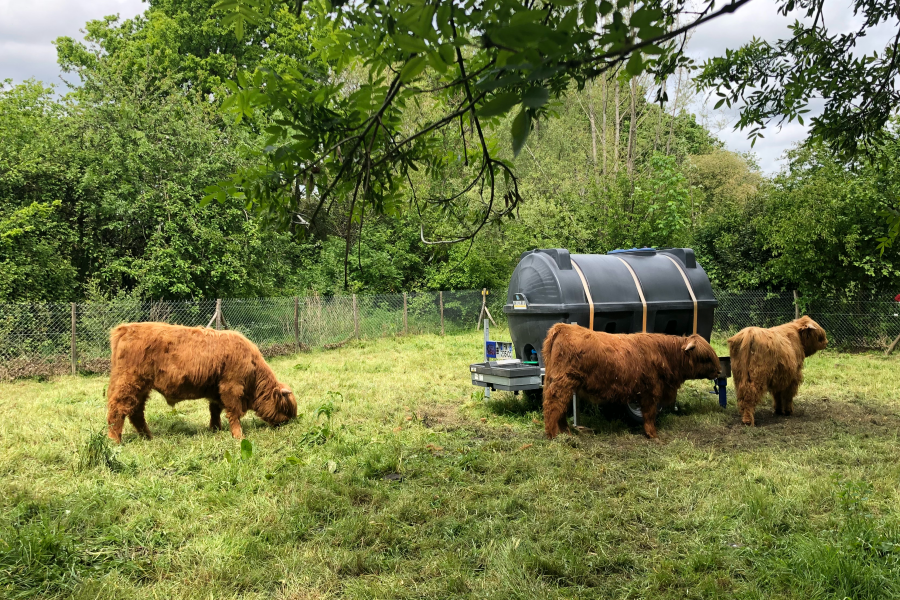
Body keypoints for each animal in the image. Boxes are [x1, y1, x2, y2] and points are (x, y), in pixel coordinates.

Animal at [105, 322, 296, 442]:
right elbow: (233, 412)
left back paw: (148, 437)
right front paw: (238, 436)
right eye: (286, 408)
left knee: (136, 412)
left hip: (142, 387)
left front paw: (216, 429)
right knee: (118, 409)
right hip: (129, 382)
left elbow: (215, 410)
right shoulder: (231, 386)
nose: (289, 423)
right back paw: (115, 440)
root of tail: (125, 329)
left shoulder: (216, 390)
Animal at [536, 326, 720, 438]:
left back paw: (565, 432)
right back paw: (553, 434)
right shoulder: (650, 392)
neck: (665, 355)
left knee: (560, 406)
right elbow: (649, 414)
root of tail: (563, 327)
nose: (719, 371)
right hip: (562, 382)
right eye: (705, 357)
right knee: (553, 404)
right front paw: (653, 435)